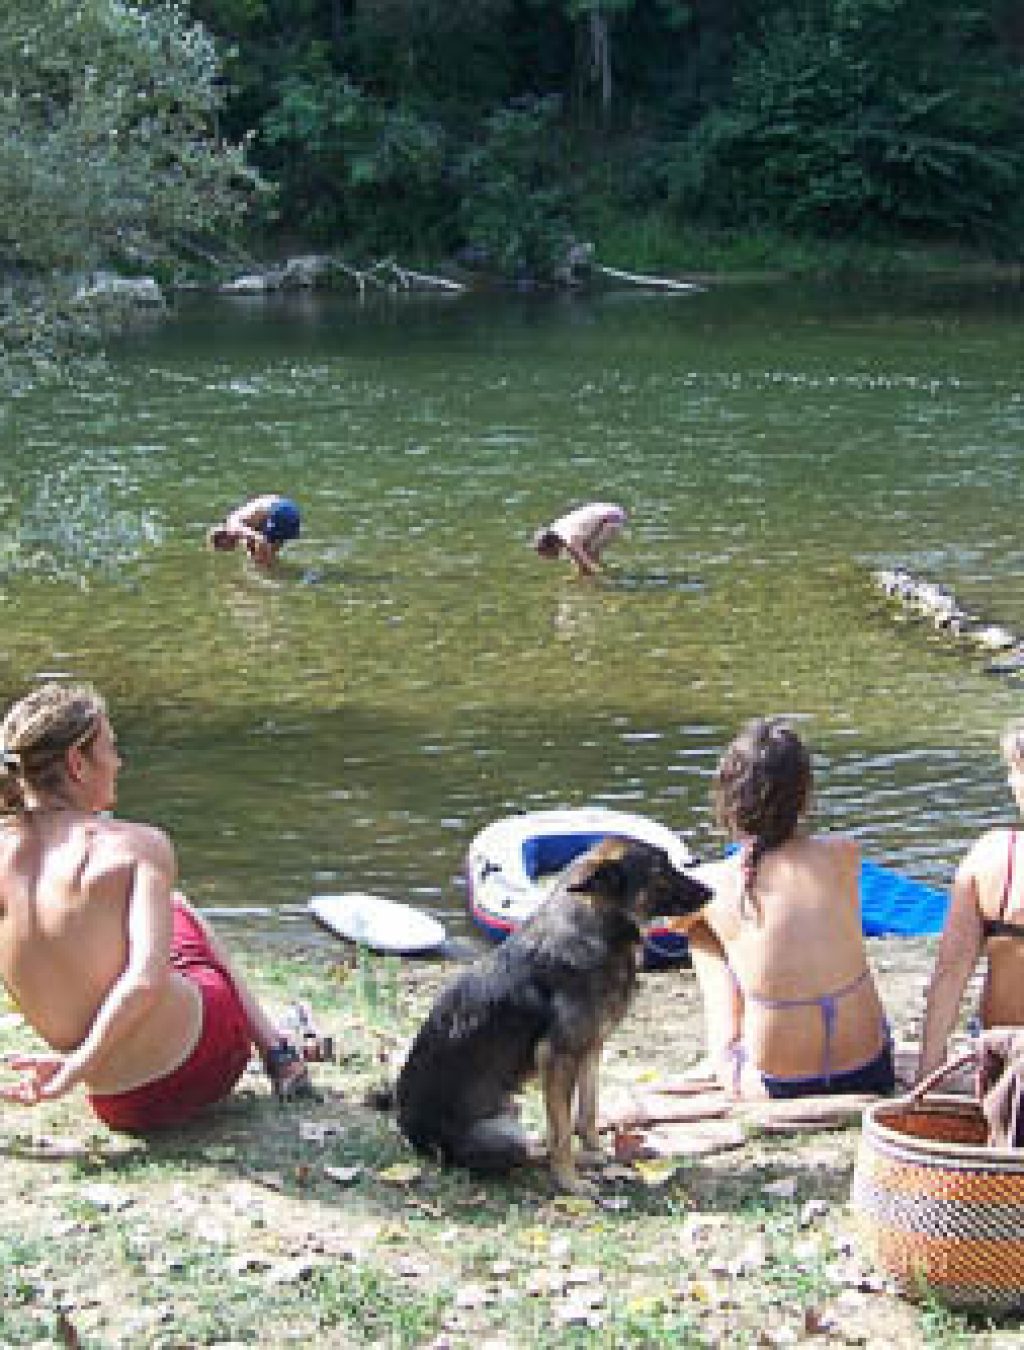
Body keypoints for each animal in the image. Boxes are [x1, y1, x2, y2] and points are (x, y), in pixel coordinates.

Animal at [388, 837, 706, 1198]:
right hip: (504, 1133)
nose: (712, 892)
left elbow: (587, 1112)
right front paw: (570, 1182)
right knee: (523, 1151)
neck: (596, 927)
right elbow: (562, 1131)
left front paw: (595, 1153)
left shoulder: (591, 1049)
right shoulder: (557, 1058)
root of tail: (413, 1137)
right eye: (659, 869)